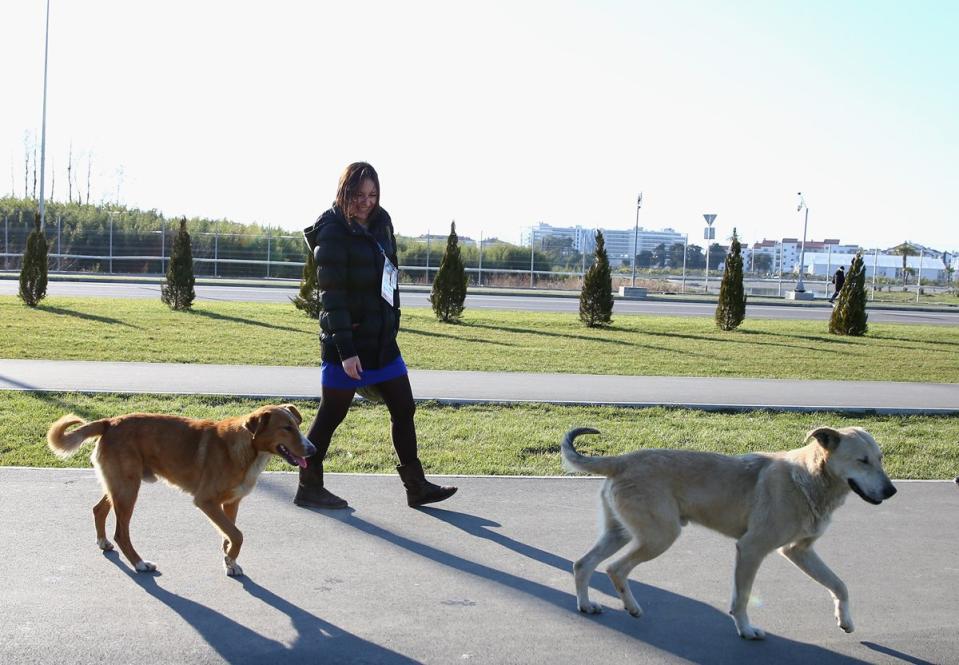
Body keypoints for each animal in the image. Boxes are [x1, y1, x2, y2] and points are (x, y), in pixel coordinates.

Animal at [47, 404, 316, 576]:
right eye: (286, 428)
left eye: (297, 424)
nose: (313, 450)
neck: (248, 448)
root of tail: (110, 422)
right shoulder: (206, 501)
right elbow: (237, 535)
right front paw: (230, 558)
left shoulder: (231, 503)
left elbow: (230, 533)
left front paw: (229, 560)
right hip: (128, 490)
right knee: (121, 533)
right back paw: (139, 563)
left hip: (120, 486)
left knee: (98, 509)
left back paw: (103, 541)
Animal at [564, 426, 900, 640]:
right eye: (862, 461)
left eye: (880, 459)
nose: (891, 491)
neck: (808, 477)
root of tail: (622, 460)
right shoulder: (751, 549)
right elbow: (742, 598)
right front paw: (746, 630)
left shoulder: (799, 551)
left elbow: (840, 585)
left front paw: (845, 620)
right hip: (660, 536)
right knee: (615, 569)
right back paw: (631, 607)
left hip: (621, 533)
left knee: (583, 564)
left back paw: (586, 604)